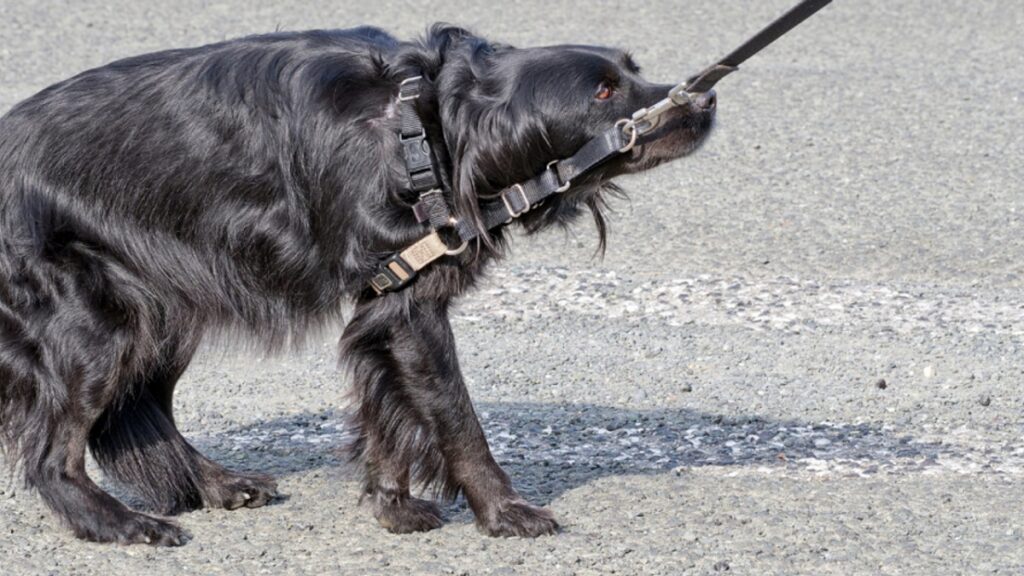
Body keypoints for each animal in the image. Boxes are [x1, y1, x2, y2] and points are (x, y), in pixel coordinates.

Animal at [0, 23, 716, 541]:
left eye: (633, 69)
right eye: (602, 93)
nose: (704, 98)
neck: (428, 128)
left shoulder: (385, 308)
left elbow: (388, 412)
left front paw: (393, 505)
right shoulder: (408, 307)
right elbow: (457, 419)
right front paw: (503, 512)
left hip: (161, 306)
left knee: (133, 411)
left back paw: (215, 485)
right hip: (97, 321)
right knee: (52, 454)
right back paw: (119, 524)